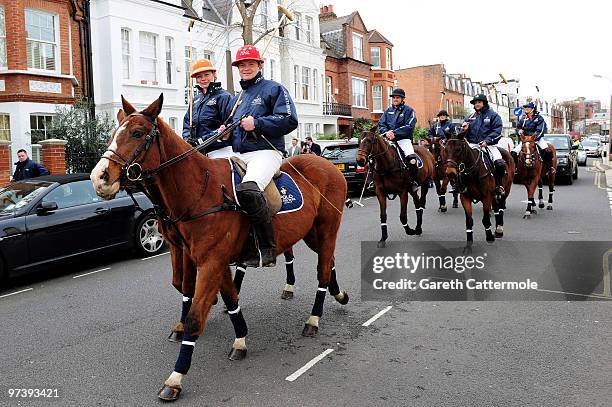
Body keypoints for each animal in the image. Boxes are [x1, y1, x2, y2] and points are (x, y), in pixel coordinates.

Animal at [91, 95, 350, 402]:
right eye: (113, 133)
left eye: (137, 133)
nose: (99, 178)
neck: (200, 192)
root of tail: (327, 164)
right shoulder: (199, 255)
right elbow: (221, 295)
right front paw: (239, 339)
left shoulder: (211, 261)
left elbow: (195, 315)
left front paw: (176, 377)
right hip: (311, 233)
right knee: (328, 261)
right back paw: (339, 294)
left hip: (327, 228)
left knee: (323, 269)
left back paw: (313, 319)